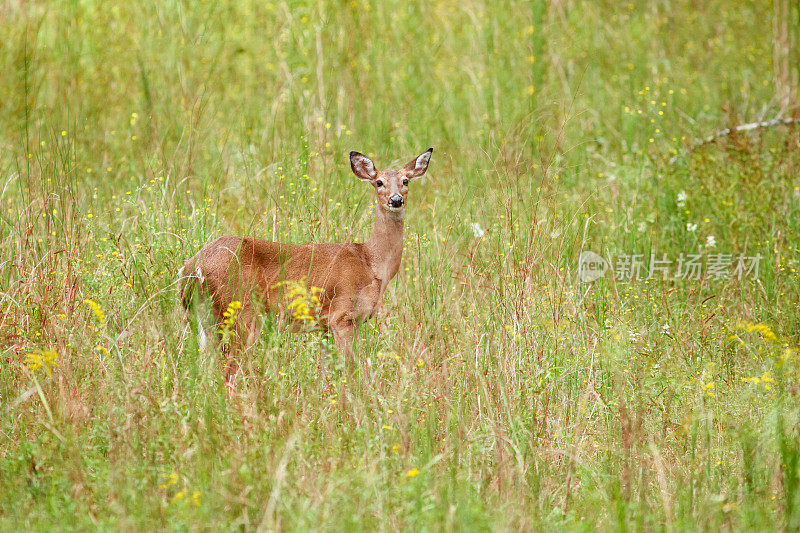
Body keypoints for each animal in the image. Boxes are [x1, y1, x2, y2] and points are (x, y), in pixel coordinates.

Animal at [179, 147, 434, 378]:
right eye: (379, 182)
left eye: (405, 180)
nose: (396, 200)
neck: (371, 263)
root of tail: (192, 268)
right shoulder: (343, 316)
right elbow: (350, 371)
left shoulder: (324, 326)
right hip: (241, 312)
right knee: (230, 370)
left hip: (205, 318)